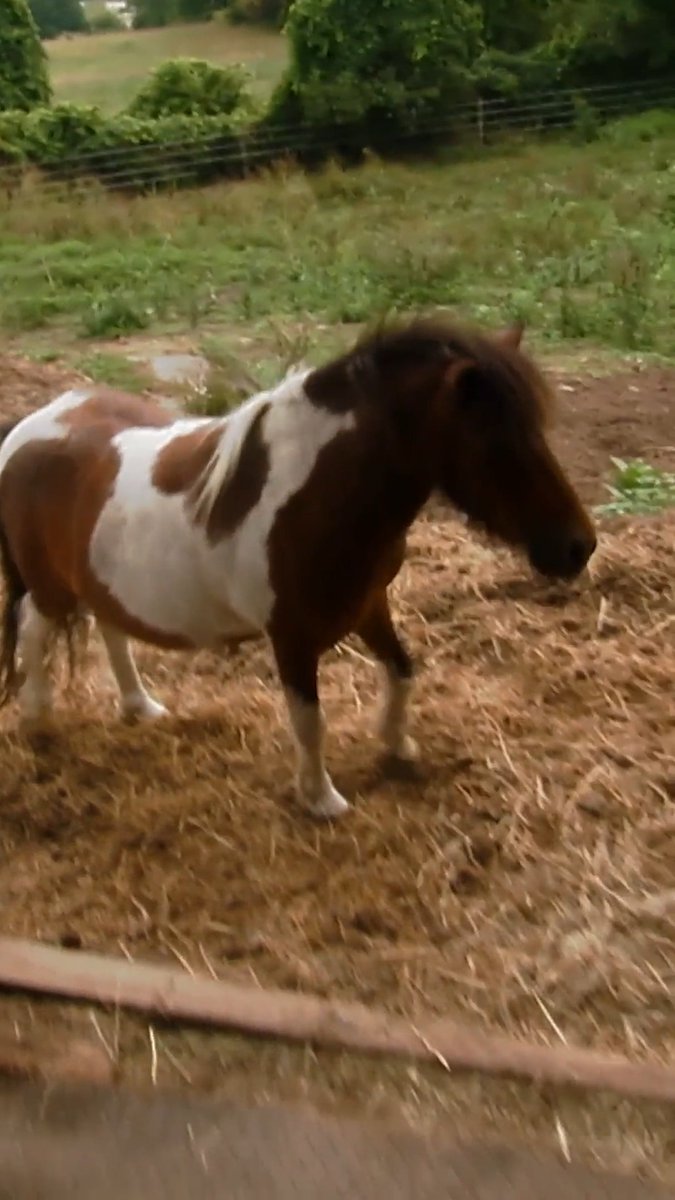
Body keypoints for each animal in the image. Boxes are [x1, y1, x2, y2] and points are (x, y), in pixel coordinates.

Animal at [0, 317, 596, 819]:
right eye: (496, 444)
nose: (579, 547)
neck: (315, 493)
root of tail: (28, 428)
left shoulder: (368, 605)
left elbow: (402, 672)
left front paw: (397, 745)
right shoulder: (291, 637)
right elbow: (310, 720)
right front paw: (320, 799)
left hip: (96, 580)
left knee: (111, 628)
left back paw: (139, 705)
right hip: (49, 588)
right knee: (34, 633)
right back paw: (38, 720)